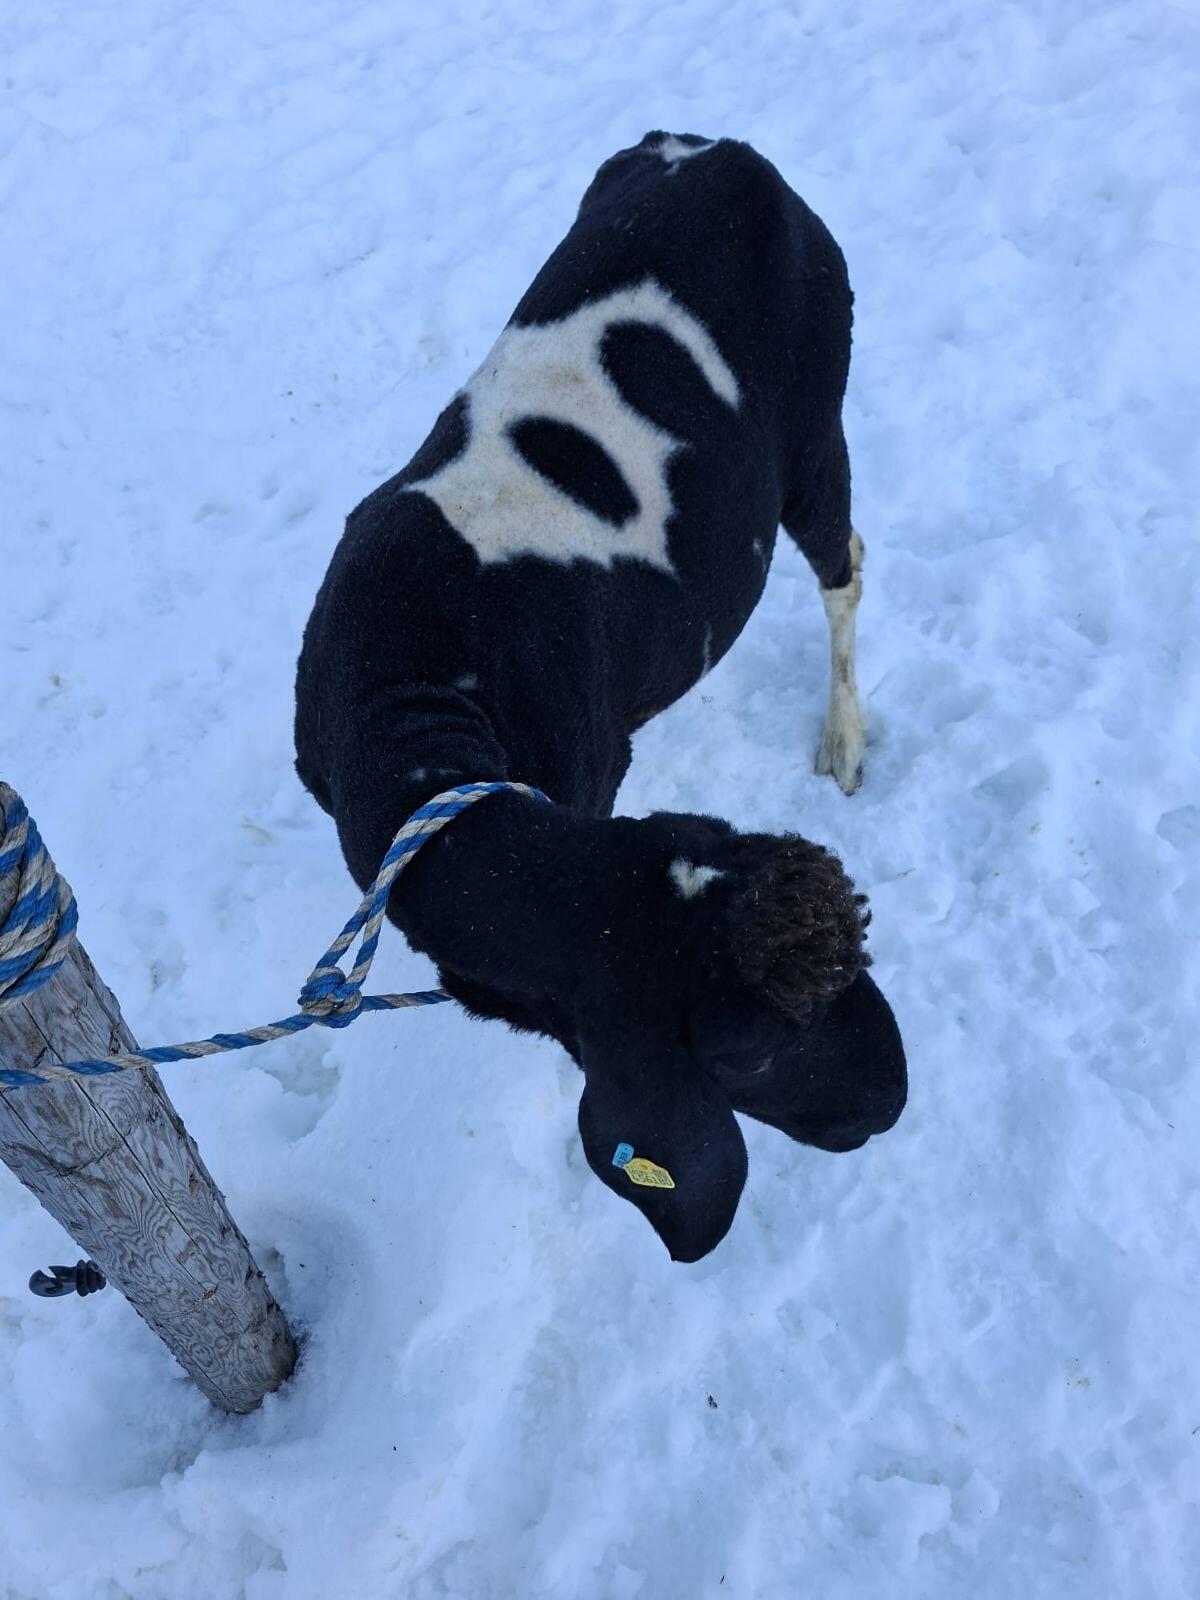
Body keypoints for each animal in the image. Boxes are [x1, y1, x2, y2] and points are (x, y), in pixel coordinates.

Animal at [295, 131, 906, 1262]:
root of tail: (720, 149)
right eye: (751, 1052)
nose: (894, 1096)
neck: (414, 706)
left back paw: (844, 735)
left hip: (814, 427)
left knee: (845, 561)